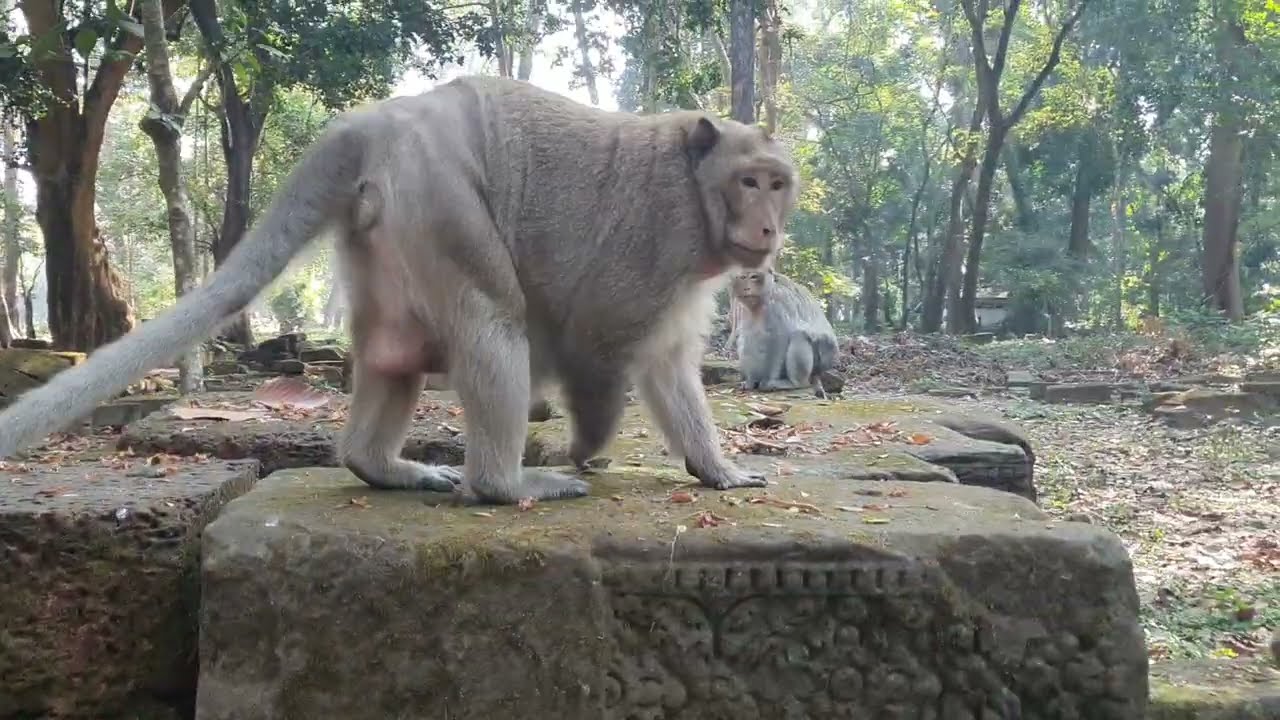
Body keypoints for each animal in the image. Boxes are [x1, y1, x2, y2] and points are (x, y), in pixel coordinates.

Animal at [0, 76, 798, 506]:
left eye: (776, 183)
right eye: (748, 182)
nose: (766, 226)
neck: (696, 191)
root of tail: (381, 117)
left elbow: (667, 366)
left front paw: (718, 470)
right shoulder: (657, 237)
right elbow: (601, 346)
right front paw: (586, 447)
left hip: (388, 221)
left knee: (394, 352)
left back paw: (377, 464)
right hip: (441, 195)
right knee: (494, 321)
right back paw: (506, 483)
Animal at [731, 268, 838, 398]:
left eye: (753, 277)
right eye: (743, 277)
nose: (746, 288)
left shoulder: (776, 303)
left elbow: (779, 338)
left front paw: (769, 380)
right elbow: (748, 335)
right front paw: (750, 381)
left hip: (821, 362)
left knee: (799, 335)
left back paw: (795, 383)